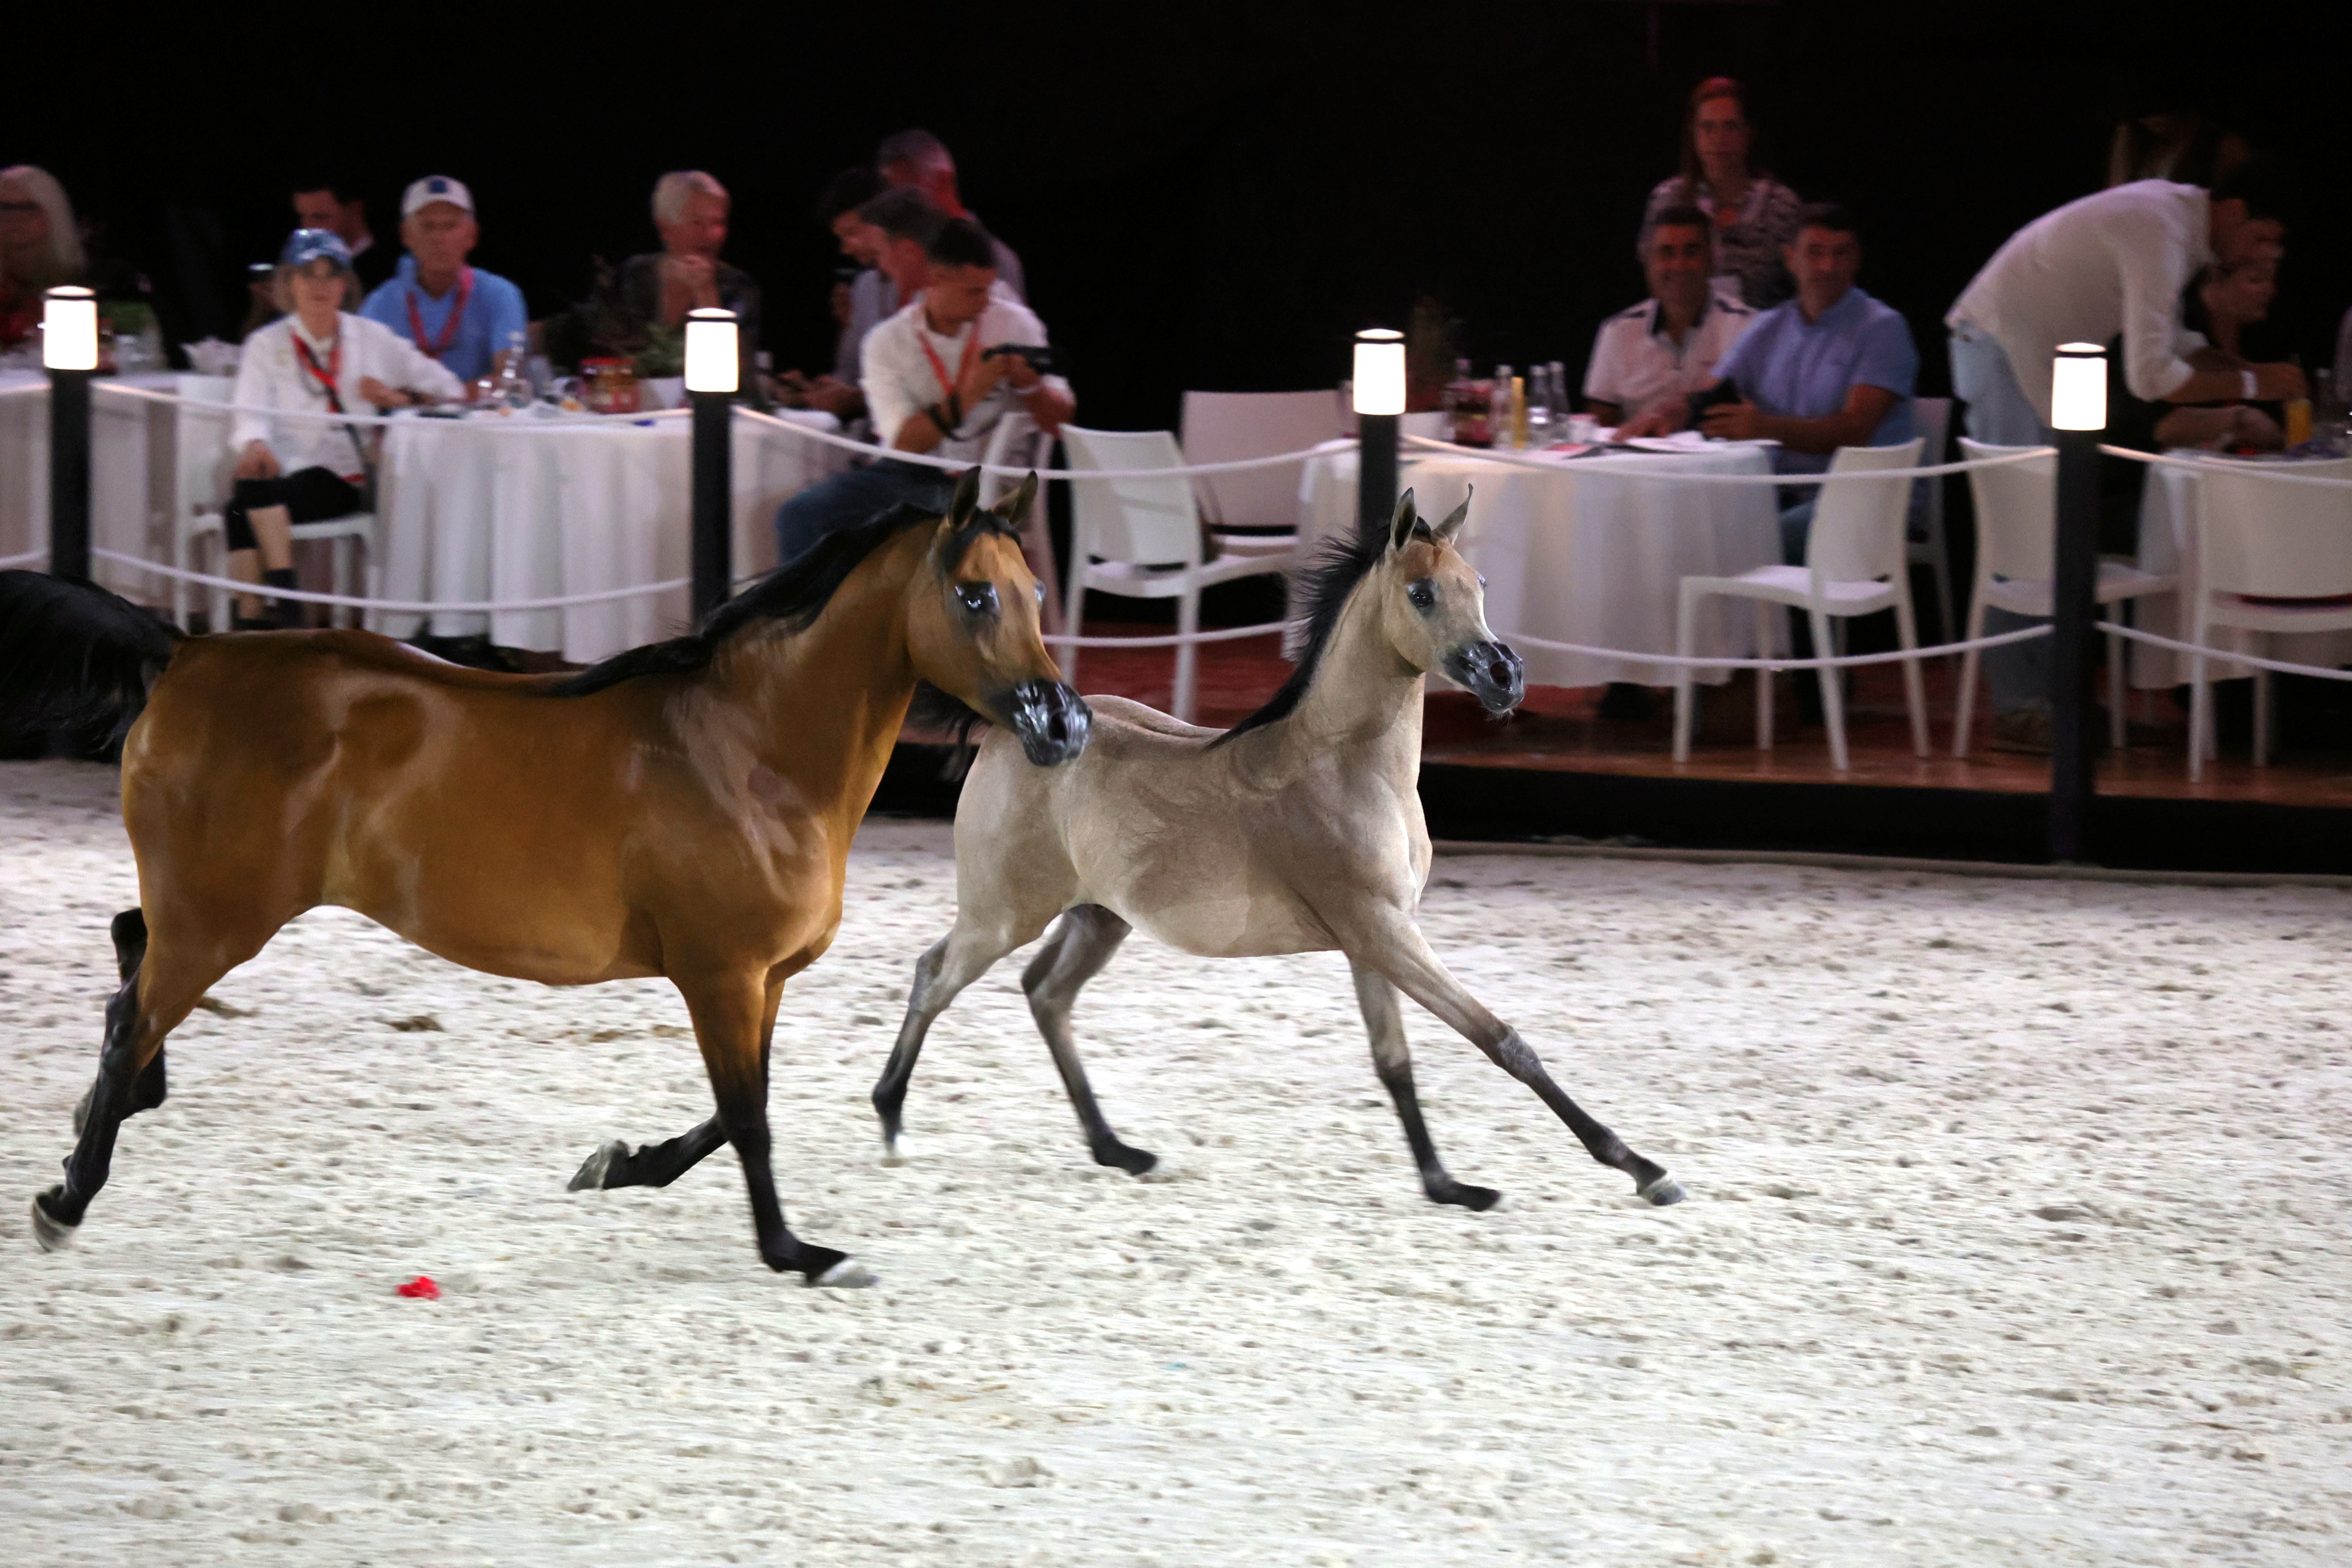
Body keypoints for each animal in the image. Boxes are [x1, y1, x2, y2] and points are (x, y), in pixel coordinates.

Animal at [0, 475, 1082, 1288]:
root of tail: (185, 650)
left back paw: (100, 1124)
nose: (1063, 724)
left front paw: (617, 1166)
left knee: (128, 952)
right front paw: (798, 1252)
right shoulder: (721, 974)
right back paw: (65, 1201)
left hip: (206, 907)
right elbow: (747, 1116)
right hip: (221, 917)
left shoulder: (762, 979)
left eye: (1036, 592)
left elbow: (739, 1106)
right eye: (974, 594)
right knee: (133, 1014)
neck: (749, 751)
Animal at [875, 491, 1683, 1213]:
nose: (1505, 675)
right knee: (935, 974)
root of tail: (1013, 726)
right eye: (1422, 592)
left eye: (1477, 583)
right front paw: (1644, 1169)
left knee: (1046, 994)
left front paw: (1448, 1186)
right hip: (1004, 912)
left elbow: (1395, 1060)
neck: (1347, 766)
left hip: (1099, 917)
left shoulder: (1374, 939)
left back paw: (1118, 1149)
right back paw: (891, 1121)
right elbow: (1501, 1038)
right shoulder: (1384, 930)